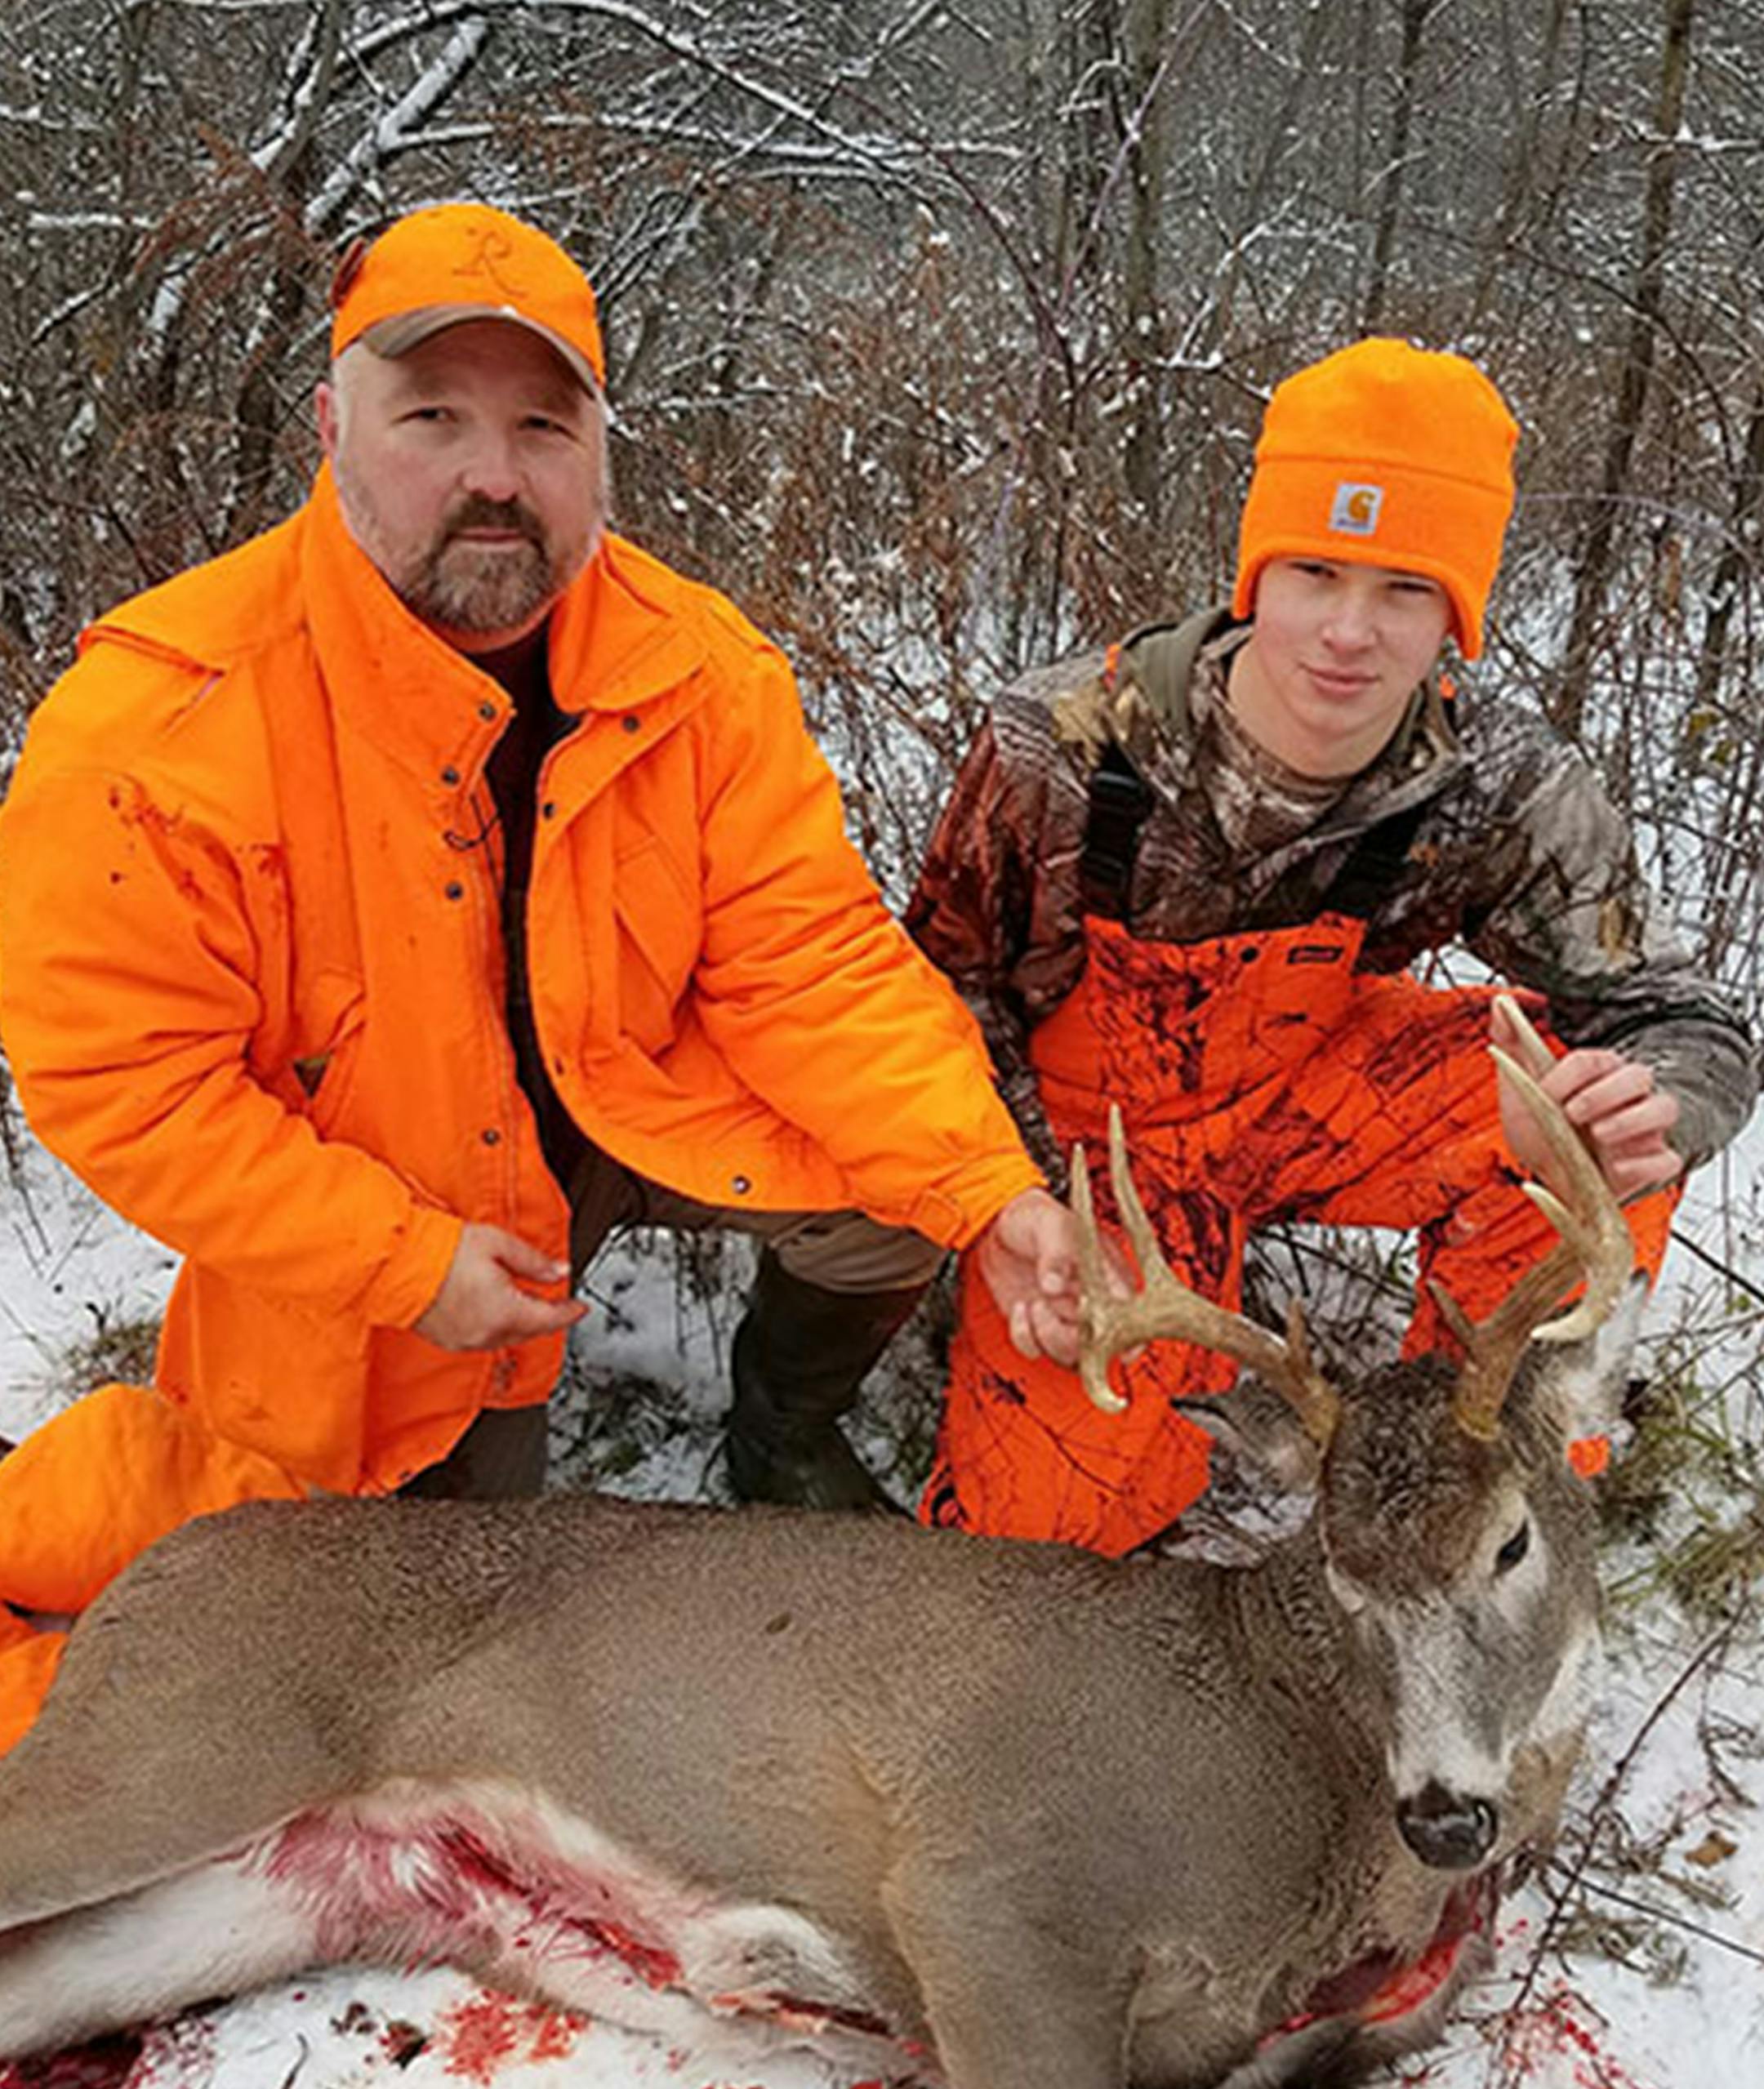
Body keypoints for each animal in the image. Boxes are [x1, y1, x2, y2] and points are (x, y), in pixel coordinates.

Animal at [0, 1000, 1640, 2089]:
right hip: (179, 1738)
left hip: (283, 1880)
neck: (1301, 1763)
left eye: (1510, 1541)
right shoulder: (994, 1873)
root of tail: (158, 1566)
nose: (1448, 1814)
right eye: (1345, 1571)